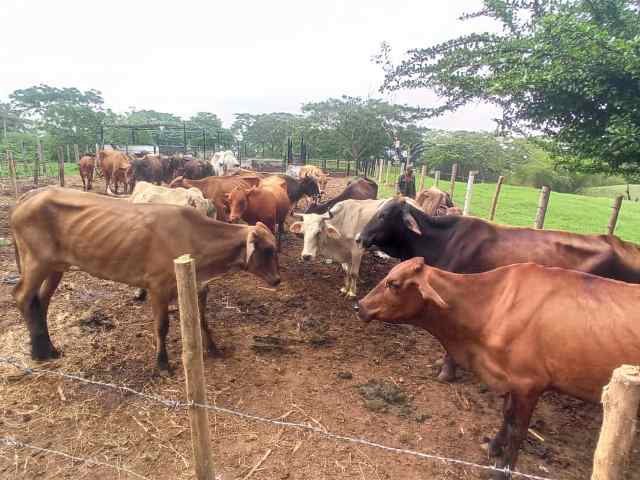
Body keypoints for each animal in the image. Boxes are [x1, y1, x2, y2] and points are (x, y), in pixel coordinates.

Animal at [7, 186, 278, 374]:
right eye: (267, 250)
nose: (276, 280)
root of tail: (29, 197)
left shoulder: (198, 286)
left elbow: (202, 319)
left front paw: (213, 347)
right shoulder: (158, 287)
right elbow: (162, 326)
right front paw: (162, 363)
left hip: (55, 267)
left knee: (40, 301)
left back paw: (49, 349)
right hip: (35, 262)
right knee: (22, 297)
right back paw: (38, 352)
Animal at [358, 258, 640, 476]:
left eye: (393, 283)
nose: (359, 306)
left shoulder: (529, 384)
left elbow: (518, 430)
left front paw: (502, 469)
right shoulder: (510, 380)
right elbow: (506, 415)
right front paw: (493, 446)